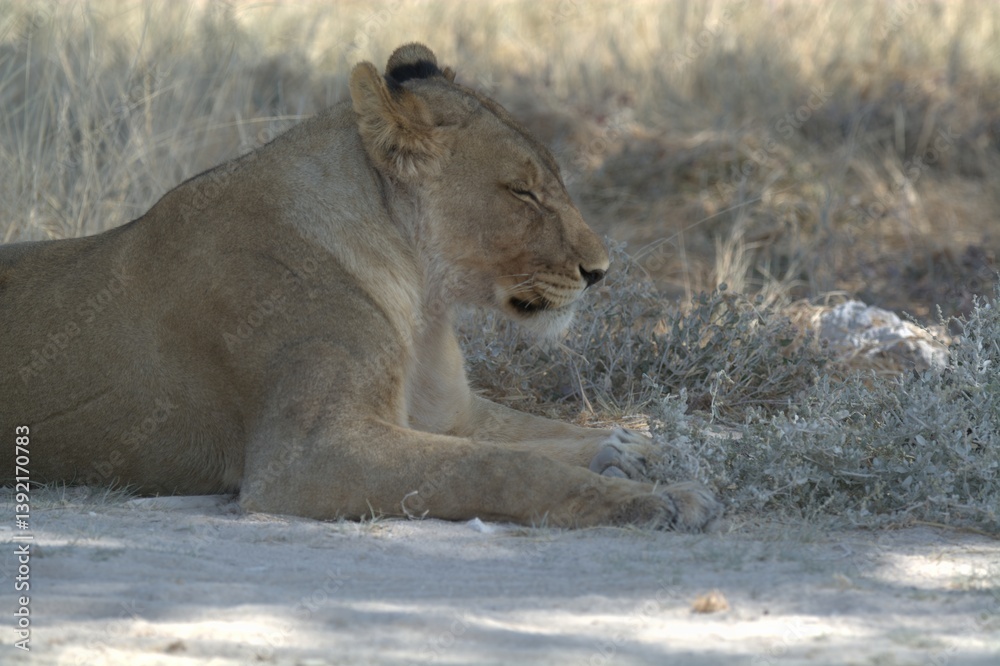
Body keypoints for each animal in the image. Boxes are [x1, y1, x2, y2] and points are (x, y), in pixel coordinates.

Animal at [0, 44, 720, 530]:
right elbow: (498, 464)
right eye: (522, 191)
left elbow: (531, 430)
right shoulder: (307, 457)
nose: (601, 271)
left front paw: (634, 449)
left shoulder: (448, 411)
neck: (424, 299)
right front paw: (656, 498)